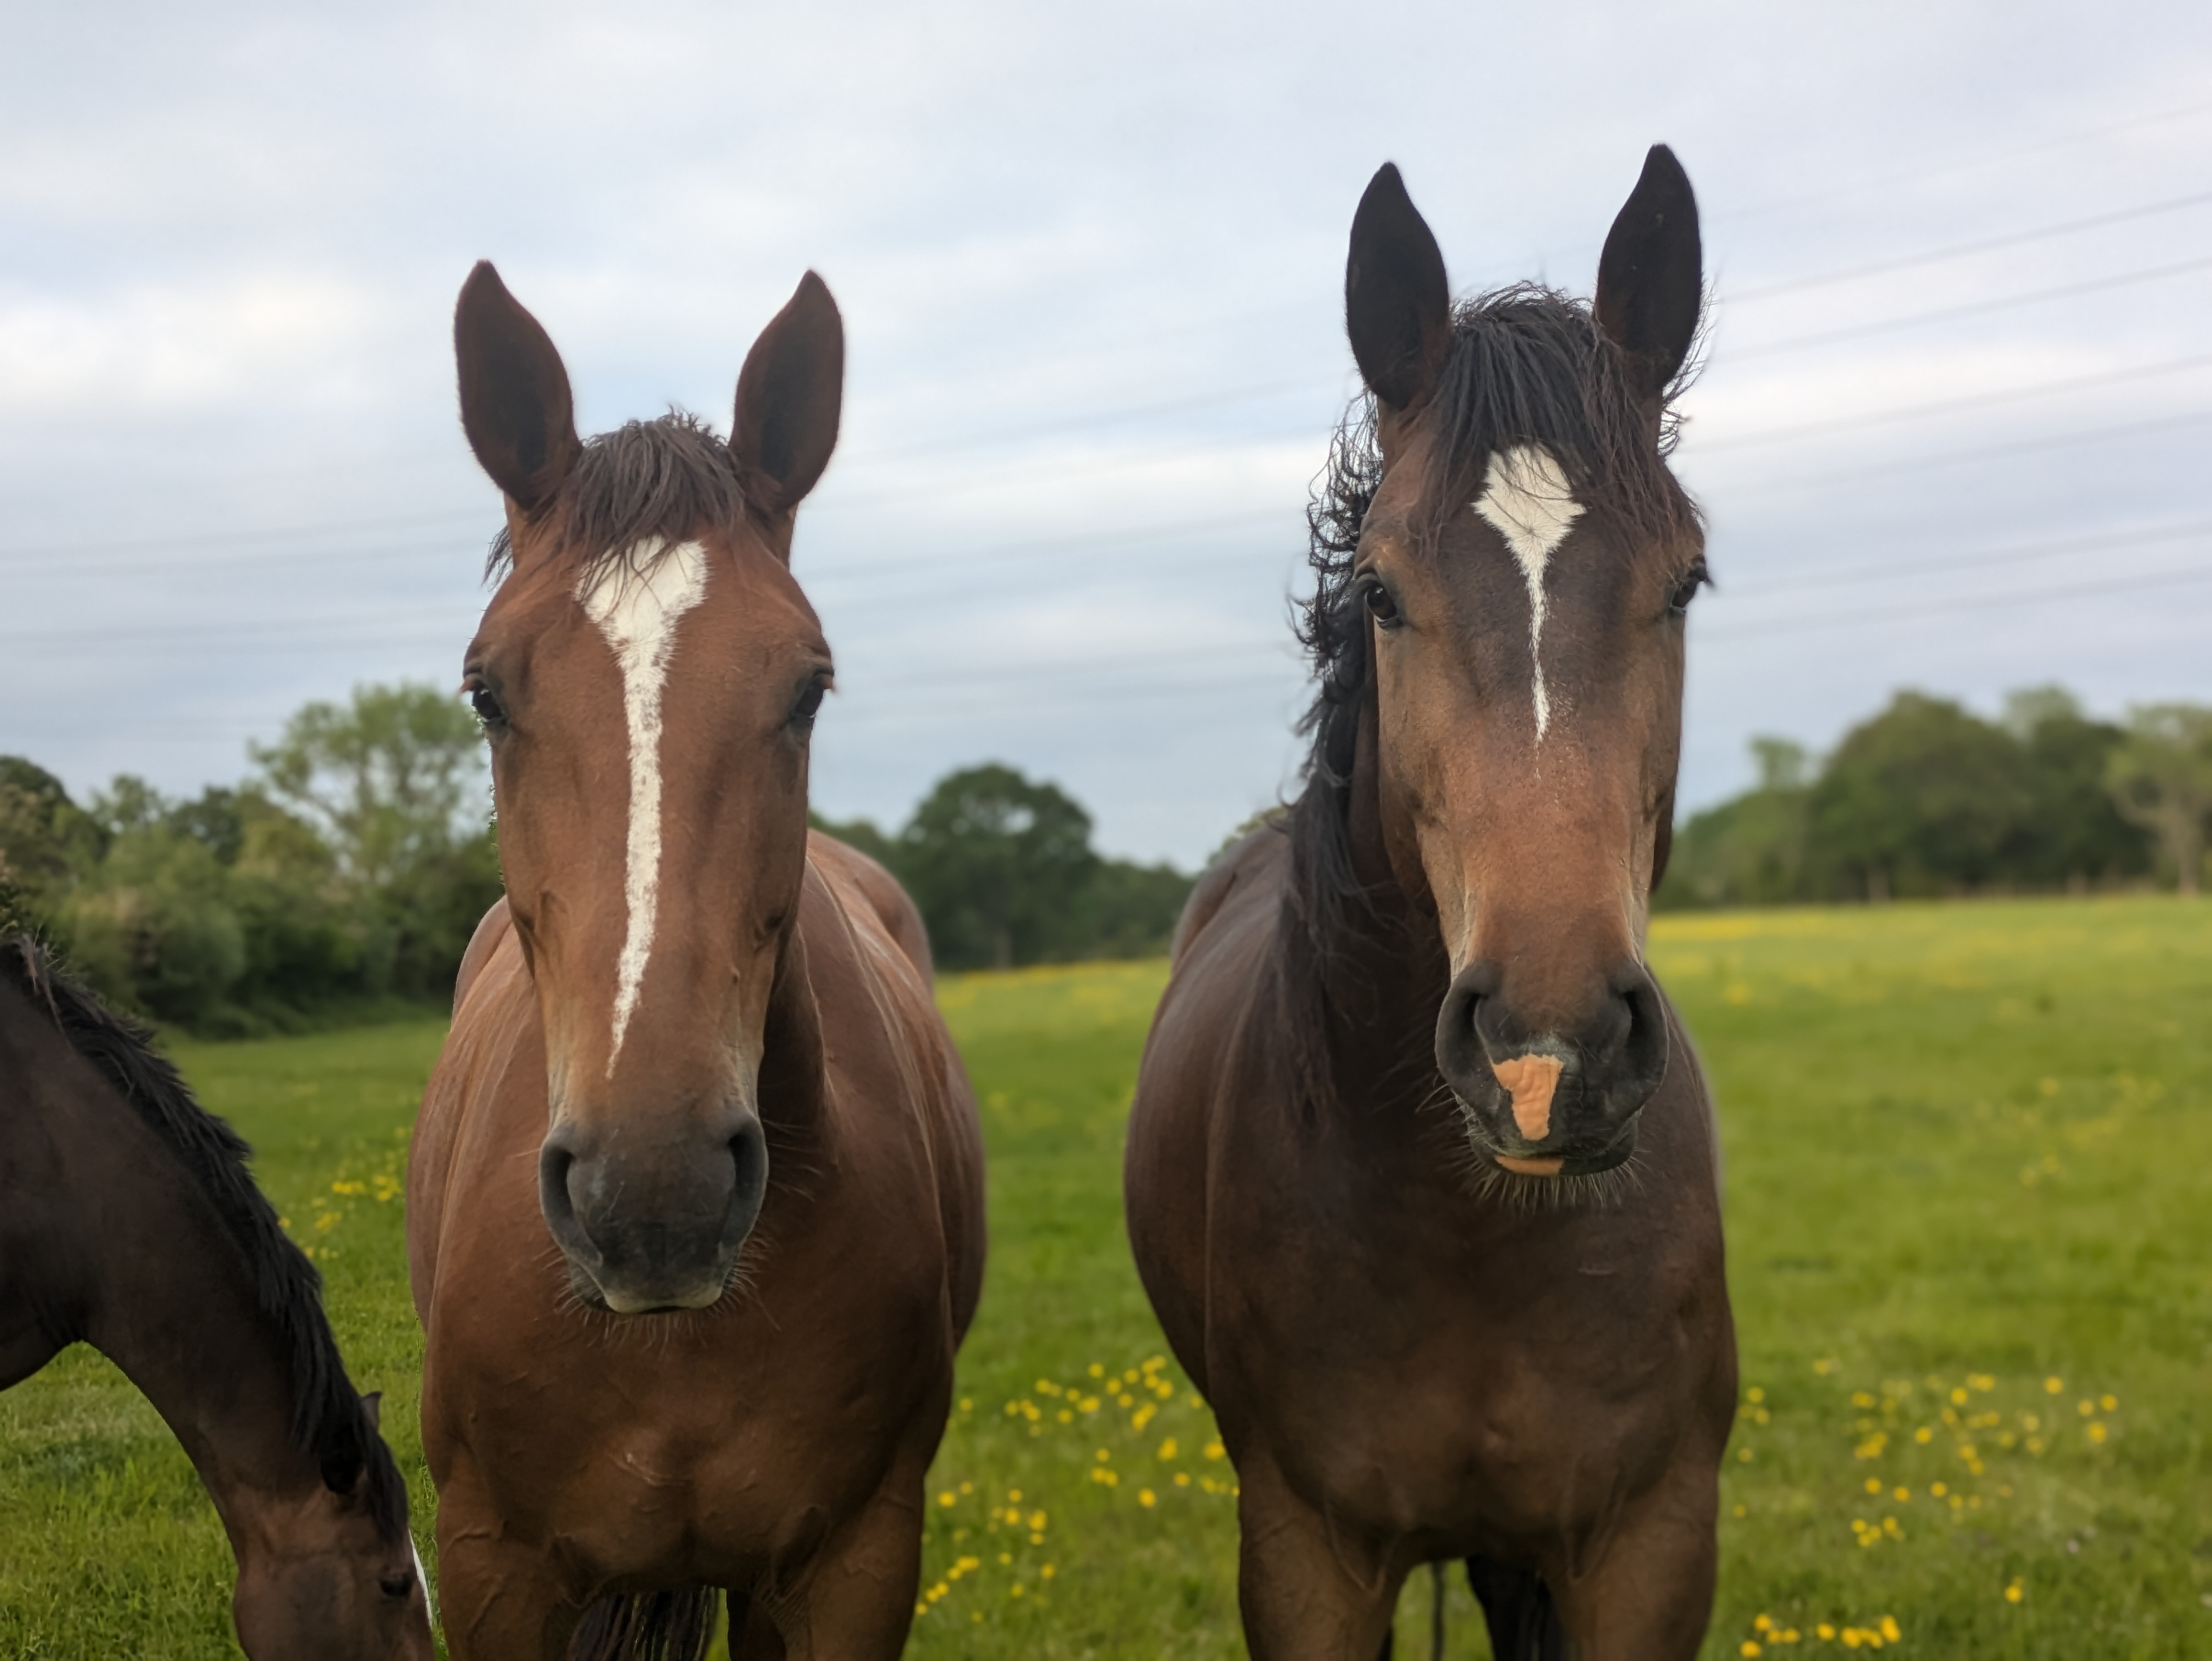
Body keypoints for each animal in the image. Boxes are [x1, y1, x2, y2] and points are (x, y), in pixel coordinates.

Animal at [1124, 147, 1736, 1660]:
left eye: (1685, 582)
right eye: (1382, 592)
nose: (1550, 1056)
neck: (1470, 1239)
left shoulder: (1647, 1548)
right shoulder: (1306, 1559)